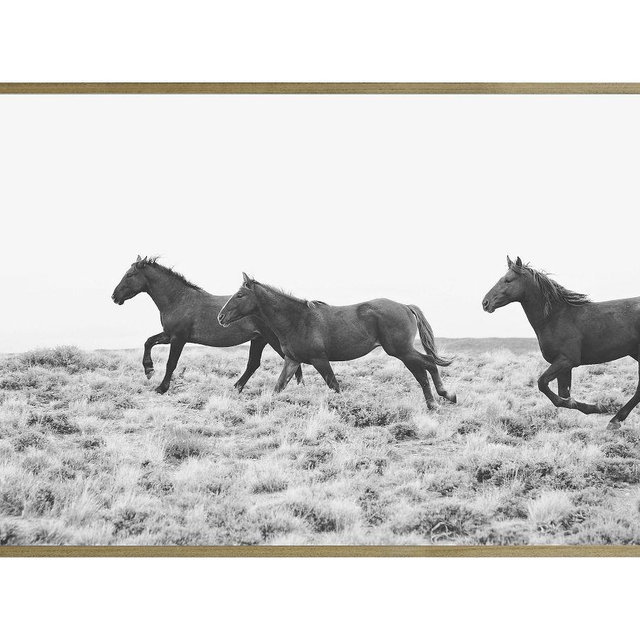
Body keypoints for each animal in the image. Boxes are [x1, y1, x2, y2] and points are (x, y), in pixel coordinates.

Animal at [111, 256, 302, 394]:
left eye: (129, 275)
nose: (114, 296)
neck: (178, 300)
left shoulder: (178, 338)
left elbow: (171, 363)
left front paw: (161, 388)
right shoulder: (168, 335)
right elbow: (148, 341)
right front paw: (149, 369)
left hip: (271, 340)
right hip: (259, 340)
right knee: (254, 364)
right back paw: (236, 388)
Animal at [217, 273, 456, 409]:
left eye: (240, 295)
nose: (220, 317)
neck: (298, 320)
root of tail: (405, 306)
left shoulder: (319, 360)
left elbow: (335, 386)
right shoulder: (292, 361)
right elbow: (278, 387)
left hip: (401, 350)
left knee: (427, 365)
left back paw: (444, 396)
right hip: (402, 351)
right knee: (423, 369)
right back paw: (436, 401)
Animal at [482, 256, 640, 429]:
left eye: (508, 280)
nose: (485, 303)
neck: (555, 317)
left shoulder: (566, 361)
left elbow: (543, 384)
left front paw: (599, 407)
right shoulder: (563, 366)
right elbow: (563, 394)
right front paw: (594, 407)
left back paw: (615, 419)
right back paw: (616, 419)